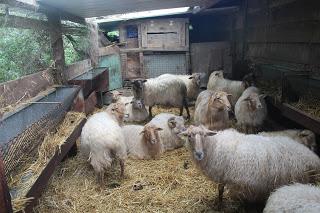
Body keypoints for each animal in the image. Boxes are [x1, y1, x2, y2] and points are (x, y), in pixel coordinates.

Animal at [179, 125, 320, 204]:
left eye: (204, 136)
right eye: (189, 136)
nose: (199, 154)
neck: (215, 145)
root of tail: (313, 159)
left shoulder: (223, 175)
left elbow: (220, 190)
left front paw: (219, 203)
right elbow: (220, 190)